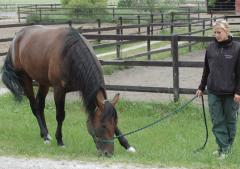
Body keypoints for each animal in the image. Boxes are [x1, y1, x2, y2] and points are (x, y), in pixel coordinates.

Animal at [1, 25, 135, 156]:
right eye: (103, 126)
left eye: (114, 124)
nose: (108, 153)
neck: (70, 55)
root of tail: (17, 37)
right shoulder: (59, 90)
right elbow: (60, 115)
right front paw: (60, 141)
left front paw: (127, 145)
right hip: (25, 78)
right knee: (35, 107)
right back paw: (46, 136)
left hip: (44, 82)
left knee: (40, 105)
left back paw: (45, 134)